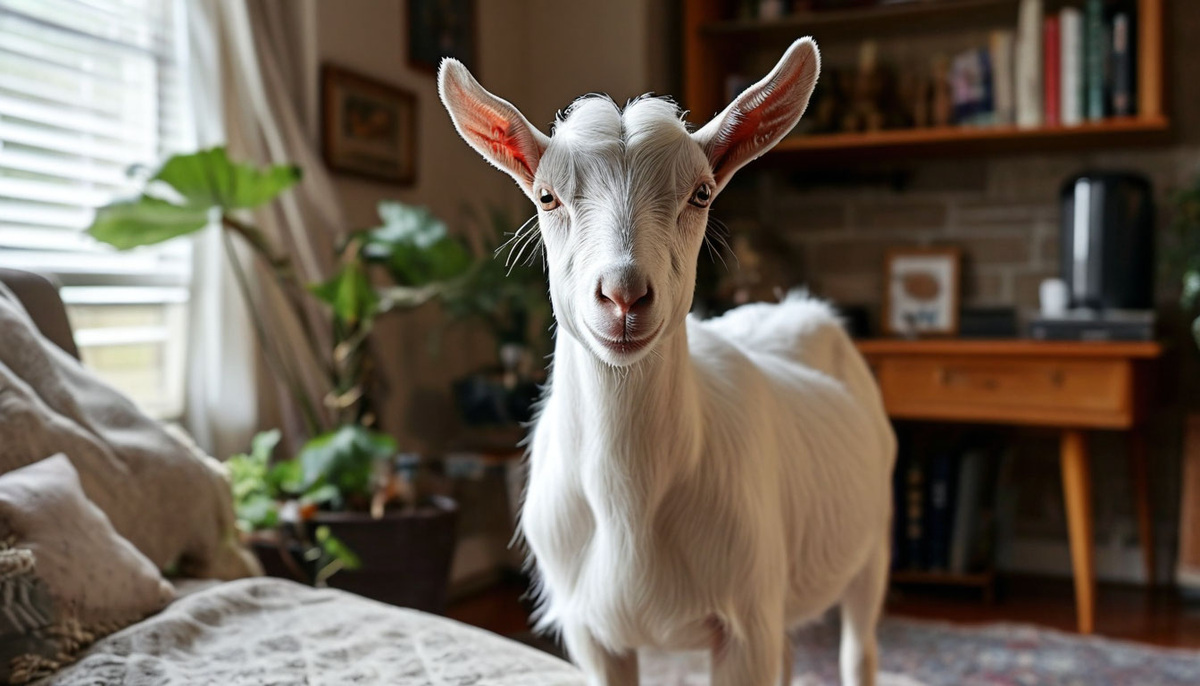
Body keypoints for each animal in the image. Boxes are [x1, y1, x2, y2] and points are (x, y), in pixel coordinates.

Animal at [439, 38, 896, 686]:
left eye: (701, 193)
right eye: (547, 196)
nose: (624, 295)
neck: (630, 507)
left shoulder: (743, 624)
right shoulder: (595, 634)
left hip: (871, 542)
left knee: (860, 647)